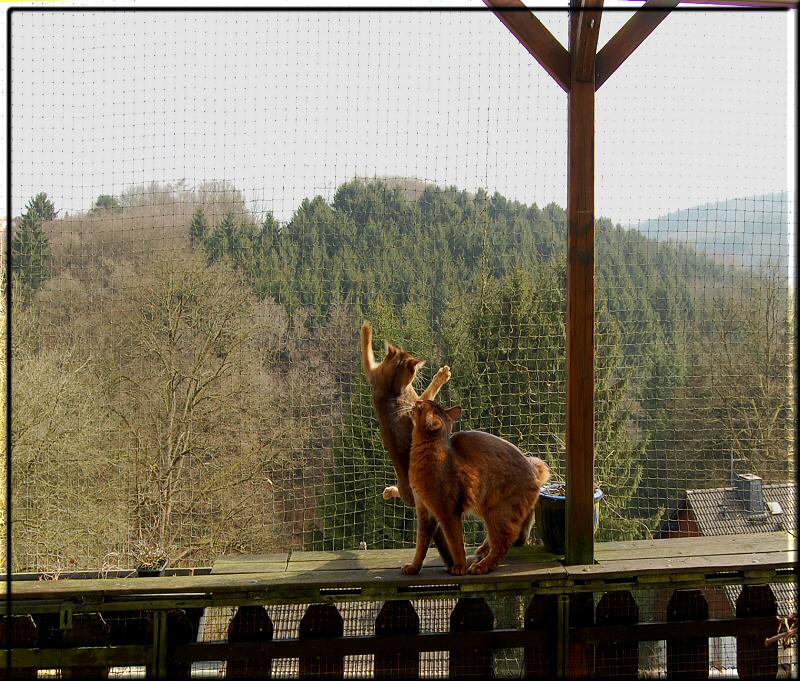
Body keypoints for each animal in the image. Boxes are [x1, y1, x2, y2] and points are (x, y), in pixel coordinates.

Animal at [406, 398, 552, 572]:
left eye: (421, 405)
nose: (416, 401)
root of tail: (533, 469)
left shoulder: (449, 512)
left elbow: (456, 543)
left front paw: (459, 567)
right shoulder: (424, 511)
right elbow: (421, 544)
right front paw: (414, 567)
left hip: (497, 512)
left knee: (504, 542)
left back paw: (482, 565)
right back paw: (480, 554)